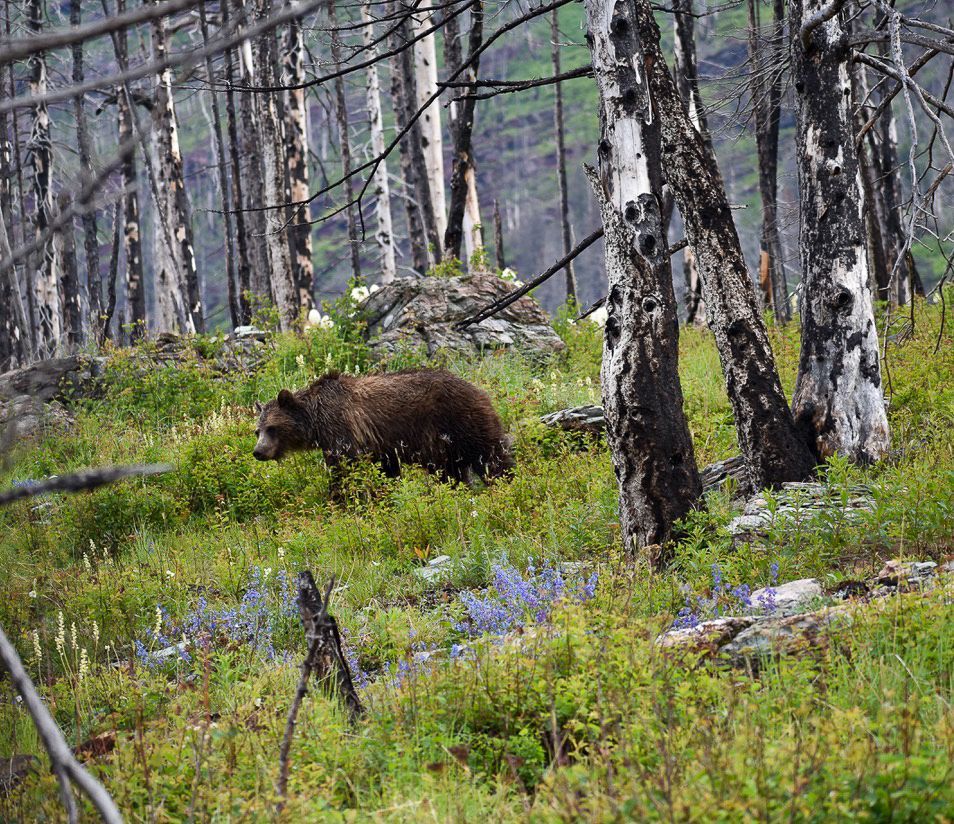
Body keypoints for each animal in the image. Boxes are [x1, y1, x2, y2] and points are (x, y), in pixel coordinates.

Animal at [252, 368, 514, 484]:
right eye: (257, 431)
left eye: (272, 428)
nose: (258, 451)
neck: (315, 421)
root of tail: (478, 389)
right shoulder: (381, 446)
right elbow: (386, 470)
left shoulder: (342, 431)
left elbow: (345, 468)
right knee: (452, 471)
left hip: (460, 421)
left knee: (489, 455)